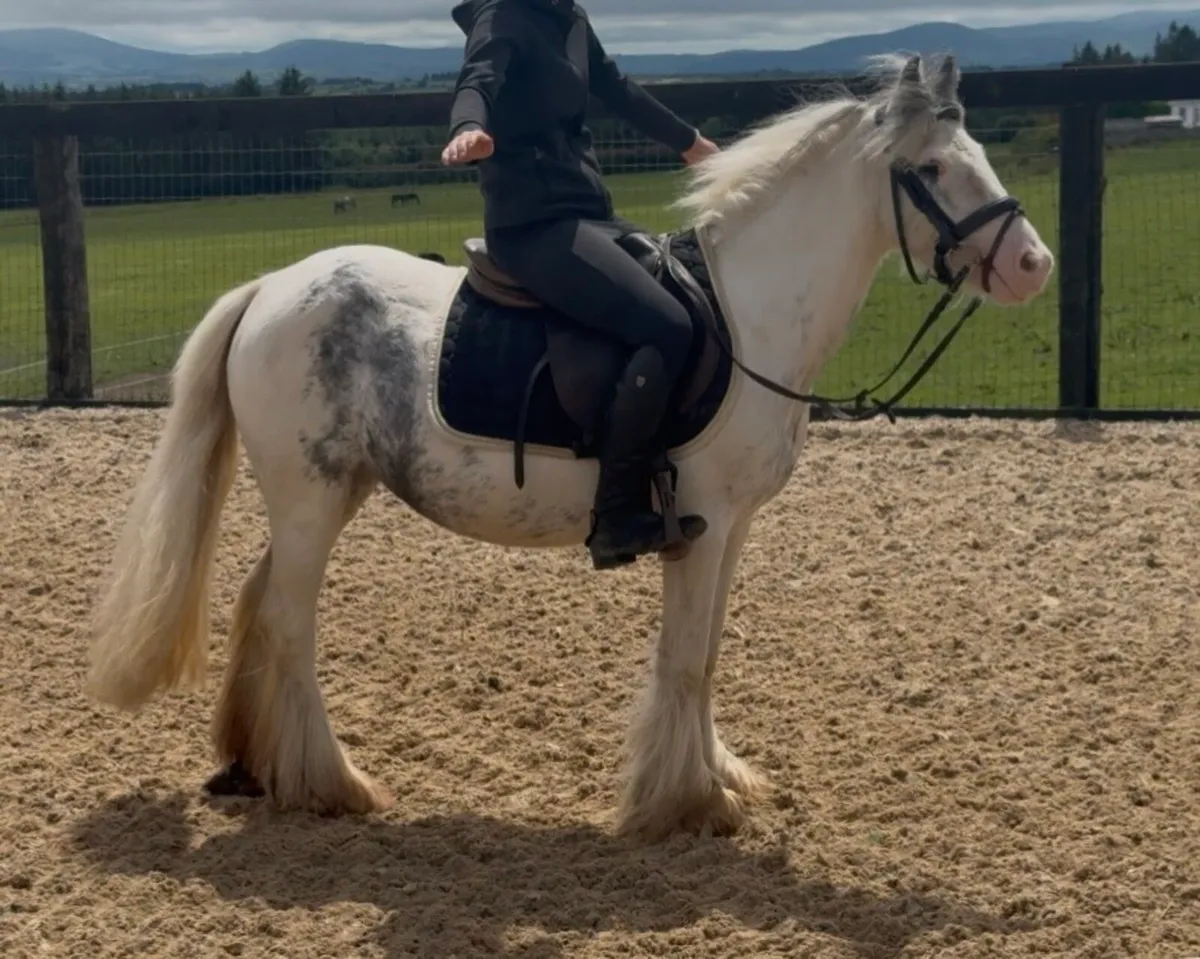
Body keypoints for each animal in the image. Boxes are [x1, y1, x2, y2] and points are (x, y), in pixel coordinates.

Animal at [87, 54, 1054, 842]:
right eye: (931, 169)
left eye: (977, 155)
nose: (1032, 265)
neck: (748, 317)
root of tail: (270, 289)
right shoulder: (700, 523)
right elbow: (686, 657)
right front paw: (688, 802)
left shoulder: (731, 527)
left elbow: (706, 653)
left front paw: (718, 776)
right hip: (309, 498)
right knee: (290, 622)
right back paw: (332, 782)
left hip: (325, 495)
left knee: (260, 606)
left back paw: (256, 766)